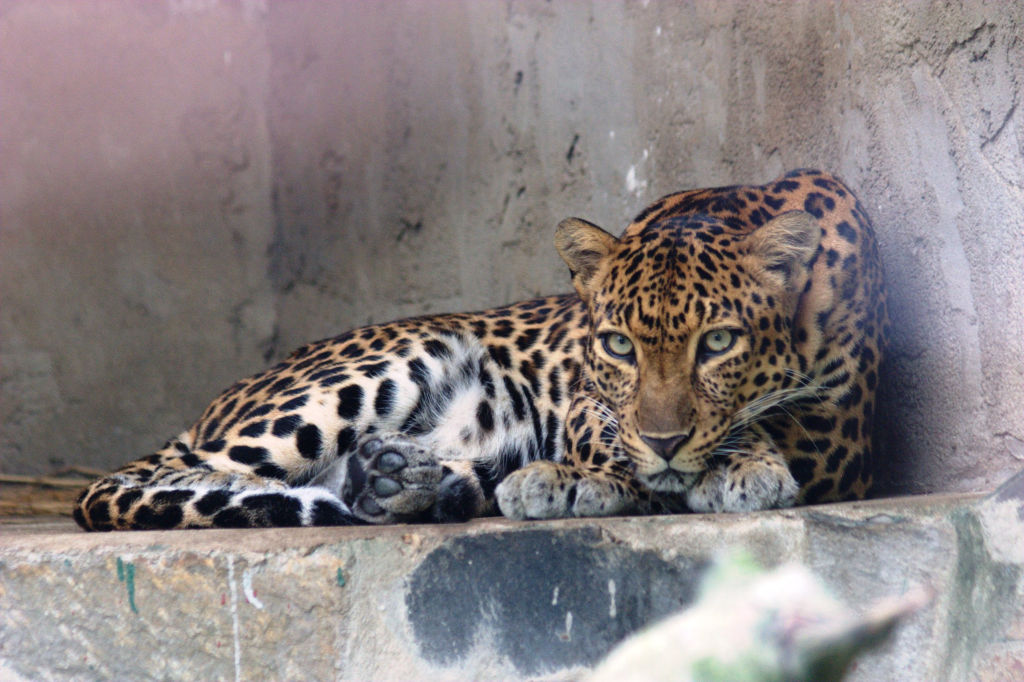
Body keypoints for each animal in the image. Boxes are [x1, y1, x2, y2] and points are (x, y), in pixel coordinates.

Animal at [74, 169, 888, 532]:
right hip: (380, 367)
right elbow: (609, 436)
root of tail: (206, 410)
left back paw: (403, 480)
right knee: (161, 482)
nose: (663, 442)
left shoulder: (838, 437)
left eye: (717, 342)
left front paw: (736, 466)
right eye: (618, 346)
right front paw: (580, 477)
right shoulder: (586, 393)